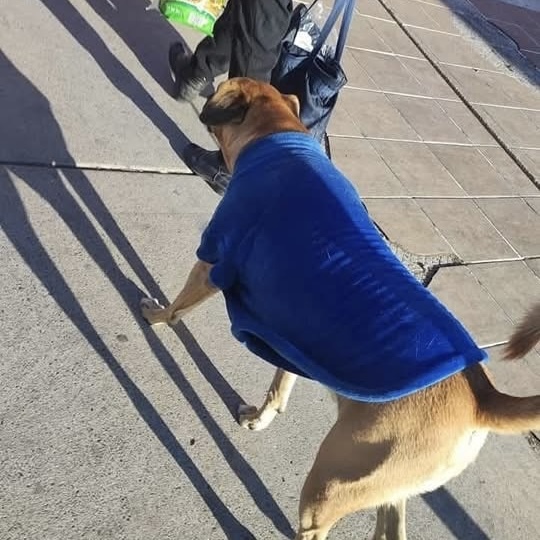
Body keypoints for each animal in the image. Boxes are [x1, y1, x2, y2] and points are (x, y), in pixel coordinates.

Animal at [141, 78, 540, 536]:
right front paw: (262, 415)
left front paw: (155, 316)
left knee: (316, 527)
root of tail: (482, 399)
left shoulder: (215, 260)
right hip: (381, 481)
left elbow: (178, 307)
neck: (280, 135)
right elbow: (281, 385)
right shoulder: (293, 334)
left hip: (329, 483)